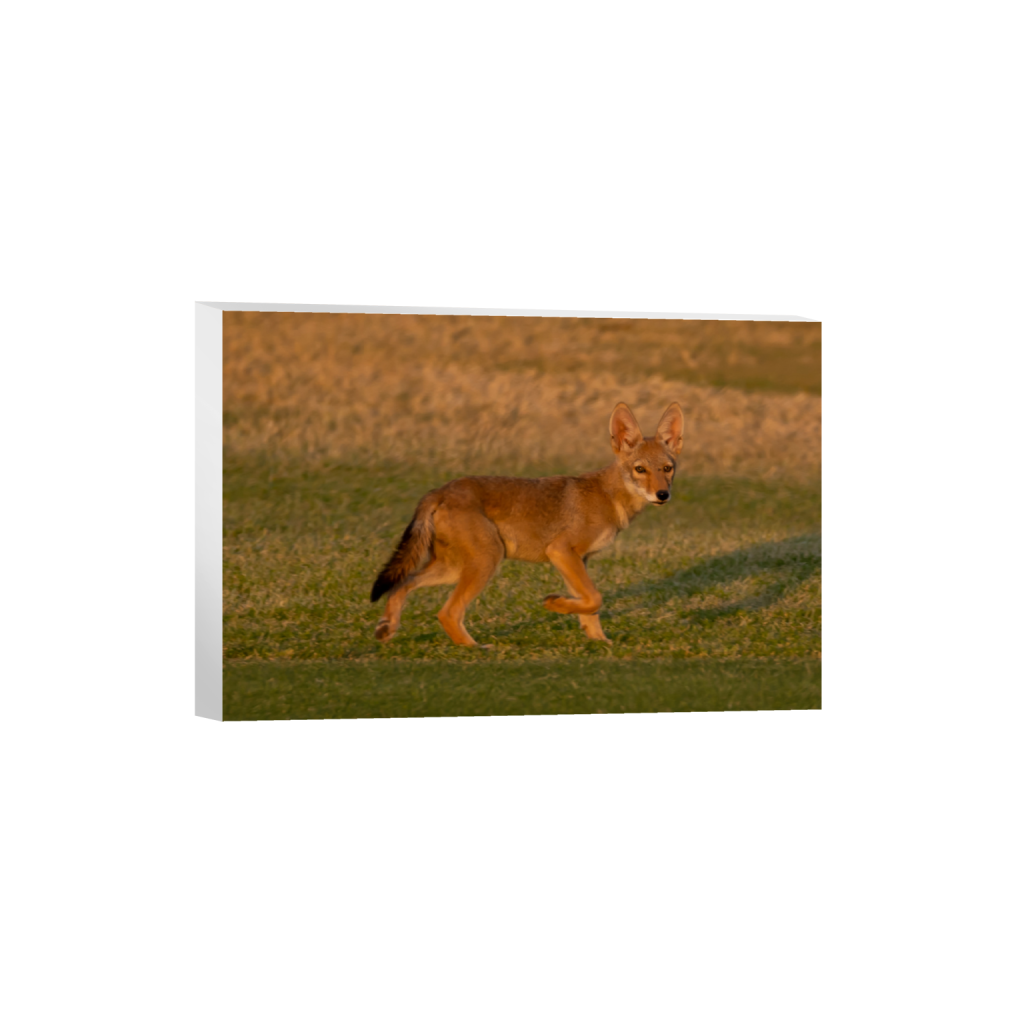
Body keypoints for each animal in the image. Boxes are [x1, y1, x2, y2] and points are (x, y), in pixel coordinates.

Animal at [370, 401, 683, 646]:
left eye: (667, 469)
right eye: (640, 469)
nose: (662, 495)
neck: (608, 496)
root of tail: (440, 490)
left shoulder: (579, 560)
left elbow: (590, 607)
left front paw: (599, 642)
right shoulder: (561, 552)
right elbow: (595, 597)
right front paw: (554, 603)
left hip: (452, 568)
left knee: (403, 584)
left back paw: (387, 628)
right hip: (485, 561)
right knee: (447, 612)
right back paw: (475, 648)